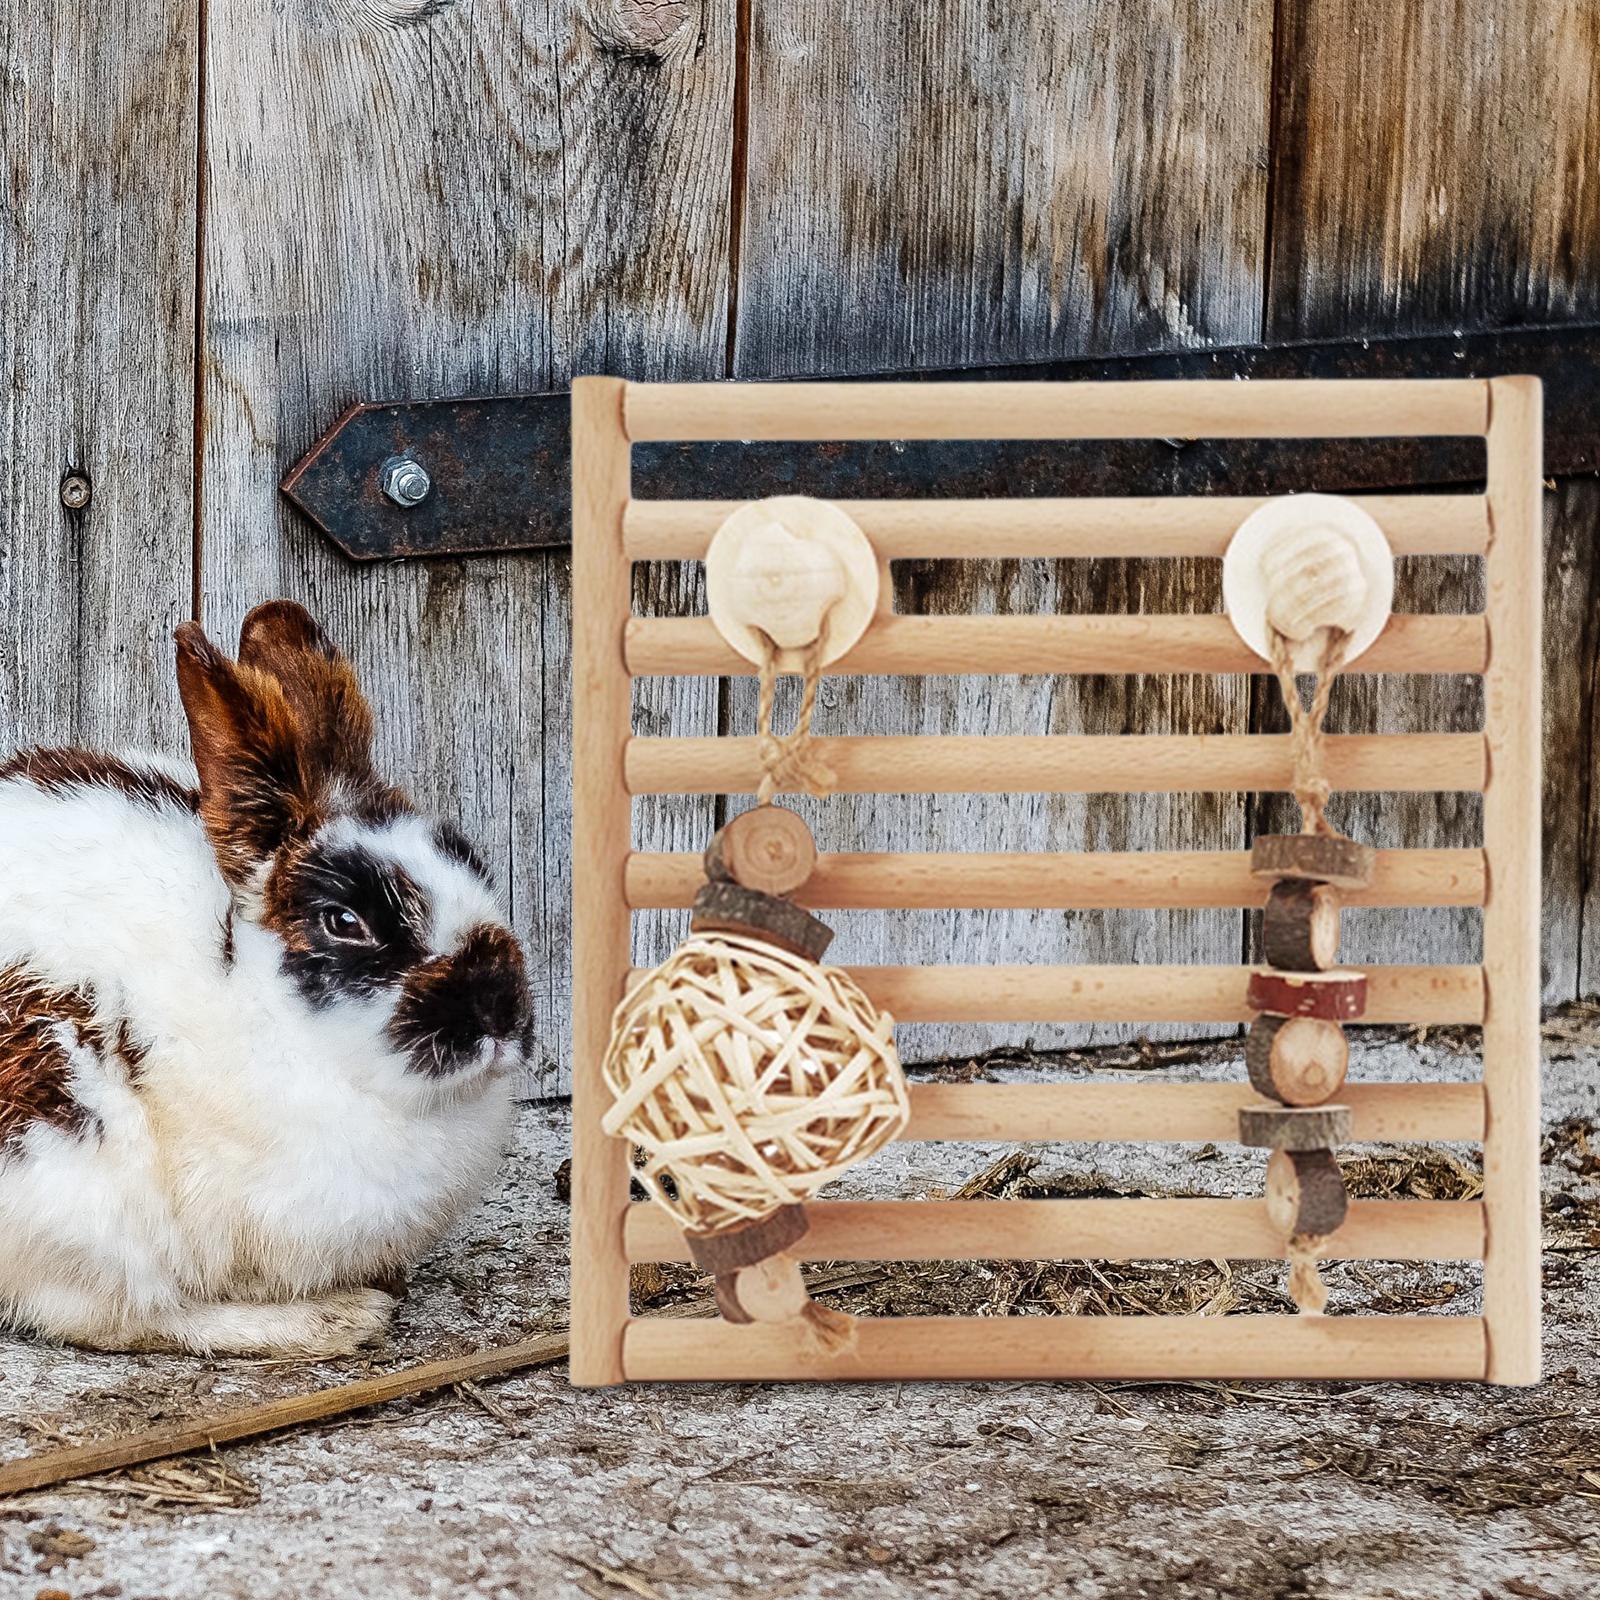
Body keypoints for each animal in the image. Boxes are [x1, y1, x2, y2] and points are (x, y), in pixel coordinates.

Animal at [0, 601, 531, 1357]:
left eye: (472, 861)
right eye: (344, 921)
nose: (500, 1008)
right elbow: (130, 1317)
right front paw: (342, 1316)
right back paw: (332, 1319)